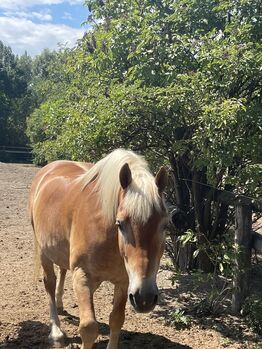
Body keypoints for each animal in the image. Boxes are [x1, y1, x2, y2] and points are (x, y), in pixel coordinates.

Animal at [29, 148, 168, 346]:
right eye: (120, 223)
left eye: (165, 225)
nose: (144, 298)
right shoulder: (82, 274)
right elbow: (88, 328)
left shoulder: (124, 281)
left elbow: (116, 320)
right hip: (43, 251)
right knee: (50, 282)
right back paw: (56, 332)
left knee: (62, 270)